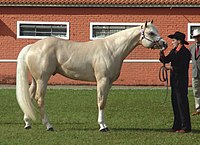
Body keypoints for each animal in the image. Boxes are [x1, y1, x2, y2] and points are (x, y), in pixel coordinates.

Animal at [16, 21, 168, 131]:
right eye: (151, 32)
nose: (164, 44)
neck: (111, 49)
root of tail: (32, 46)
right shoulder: (102, 80)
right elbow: (100, 102)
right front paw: (102, 126)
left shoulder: (109, 82)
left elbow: (104, 101)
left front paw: (104, 124)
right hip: (42, 79)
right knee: (39, 99)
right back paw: (49, 126)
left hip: (35, 79)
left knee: (30, 96)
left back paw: (27, 123)